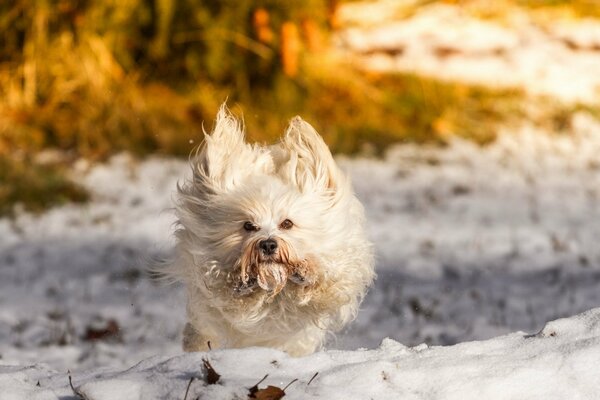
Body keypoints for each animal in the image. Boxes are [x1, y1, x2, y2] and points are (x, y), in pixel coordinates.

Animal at [162, 105, 372, 356]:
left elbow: (325, 283)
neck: (273, 291)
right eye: (248, 226)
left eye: (287, 223)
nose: (268, 244)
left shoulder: (339, 263)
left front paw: (305, 275)